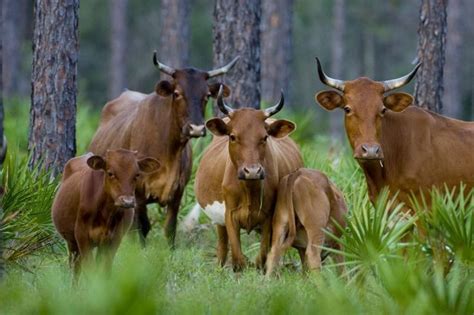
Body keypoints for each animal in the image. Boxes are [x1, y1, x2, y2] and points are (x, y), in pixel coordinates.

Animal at [51, 149, 159, 278]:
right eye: (110, 173)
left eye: (137, 174)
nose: (127, 201)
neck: (106, 213)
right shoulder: (81, 236)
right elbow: (89, 269)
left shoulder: (114, 238)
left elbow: (105, 269)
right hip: (72, 243)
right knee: (75, 268)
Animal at [87, 52, 239, 247]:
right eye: (177, 93)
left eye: (206, 95)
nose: (196, 128)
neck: (168, 152)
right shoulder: (138, 192)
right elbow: (142, 227)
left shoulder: (178, 191)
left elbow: (170, 228)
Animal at [195, 86, 304, 272]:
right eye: (232, 136)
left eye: (265, 137)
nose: (252, 171)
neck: (249, 189)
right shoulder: (229, 216)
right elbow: (238, 259)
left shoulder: (268, 217)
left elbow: (263, 255)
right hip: (219, 222)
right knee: (222, 247)